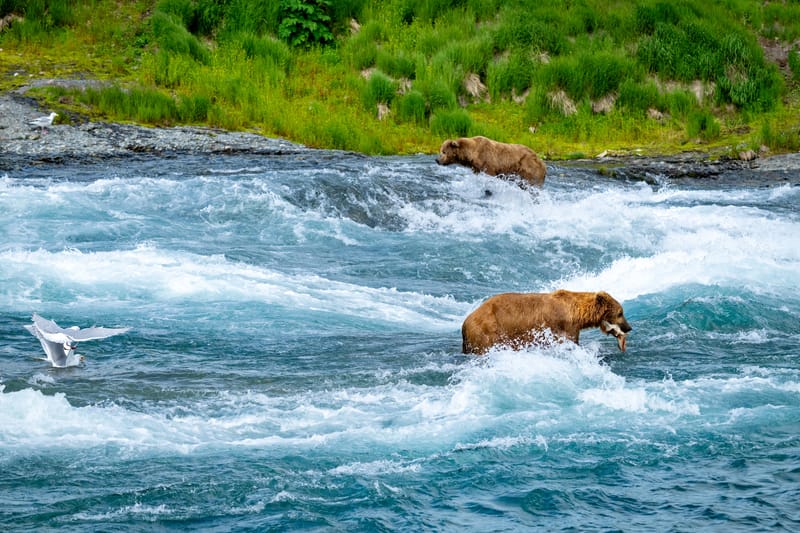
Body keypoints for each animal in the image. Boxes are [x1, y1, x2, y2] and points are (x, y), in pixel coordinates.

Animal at [461, 290, 631, 355]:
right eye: (620, 313)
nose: (629, 327)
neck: (576, 315)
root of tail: (465, 323)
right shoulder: (562, 327)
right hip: (488, 331)